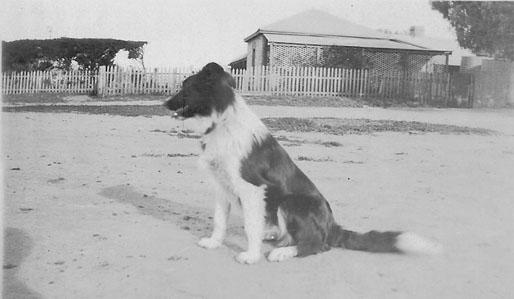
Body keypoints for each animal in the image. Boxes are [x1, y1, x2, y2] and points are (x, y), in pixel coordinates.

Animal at [165, 62, 440, 264]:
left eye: (185, 87)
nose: (164, 104)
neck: (221, 122)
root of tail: (332, 226)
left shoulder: (251, 187)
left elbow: (250, 226)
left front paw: (251, 256)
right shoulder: (221, 186)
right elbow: (219, 220)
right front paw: (214, 243)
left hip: (290, 202)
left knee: (316, 245)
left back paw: (282, 251)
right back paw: (274, 237)